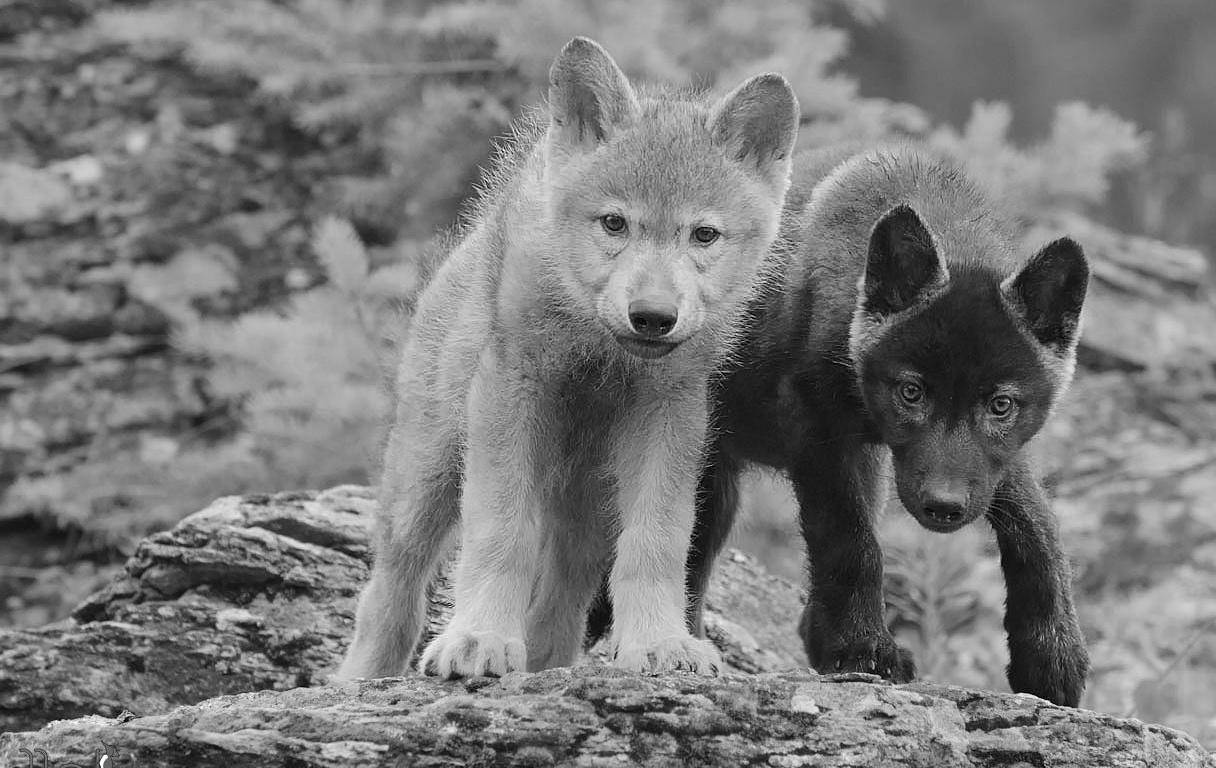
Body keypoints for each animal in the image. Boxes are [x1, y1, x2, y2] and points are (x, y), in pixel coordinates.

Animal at [334, 37, 799, 680]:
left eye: (703, 236)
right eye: (614, 223)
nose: (652, 316)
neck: (597, 347)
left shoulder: (670, 413)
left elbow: (657, 543)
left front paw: (660, 642)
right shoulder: (509, 395)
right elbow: (501, 534)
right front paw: (478, 638)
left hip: (589, 504)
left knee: (562, 599)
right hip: (427, 474)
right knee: (392, 590)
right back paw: (364, 678)